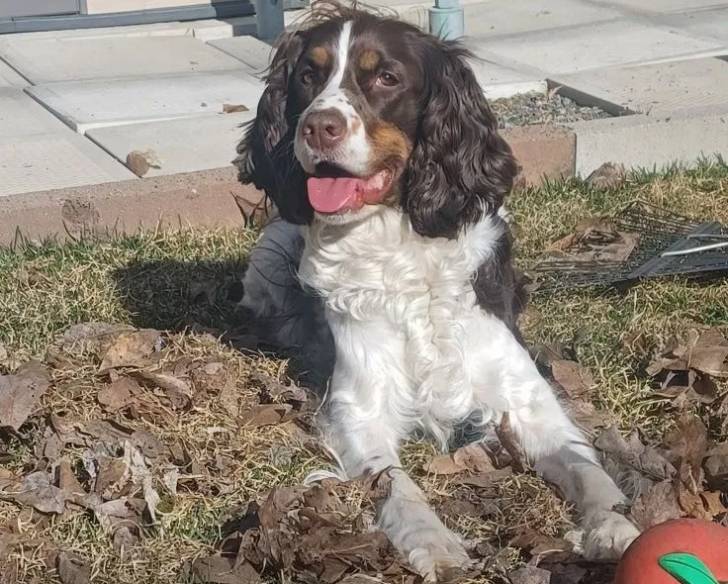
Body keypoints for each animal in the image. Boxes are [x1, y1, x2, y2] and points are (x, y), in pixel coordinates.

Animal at [235, 3, 640, 580]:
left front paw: (614, 524)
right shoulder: (359, 409)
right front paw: (433, 541)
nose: (317, 126)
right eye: (308, 75)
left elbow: (588, 468)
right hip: (271, 248)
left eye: (386, 77)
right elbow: (395, 484)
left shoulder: (527, 400)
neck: (402, 252)